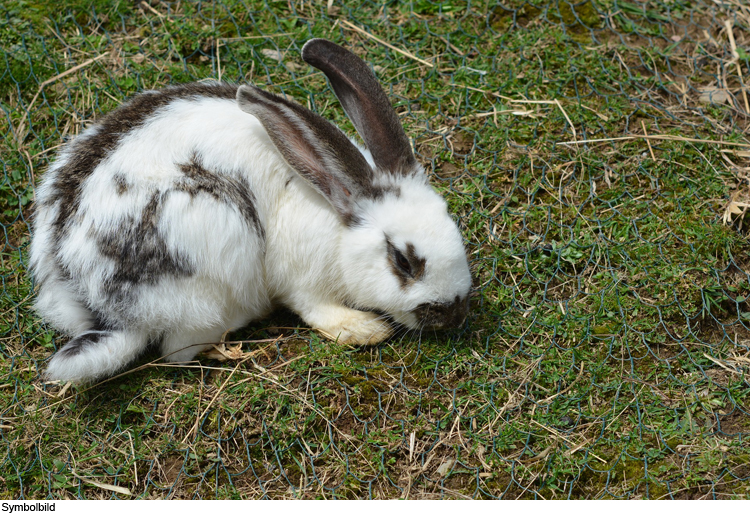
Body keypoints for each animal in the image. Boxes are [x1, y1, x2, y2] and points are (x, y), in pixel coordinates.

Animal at [30, 38, 476, 384]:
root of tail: (101, 306)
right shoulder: (301, 277)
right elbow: (316, 308)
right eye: (403, 261)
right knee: (178, 349)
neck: (337, 206)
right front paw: (364, 329)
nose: (455, 313)